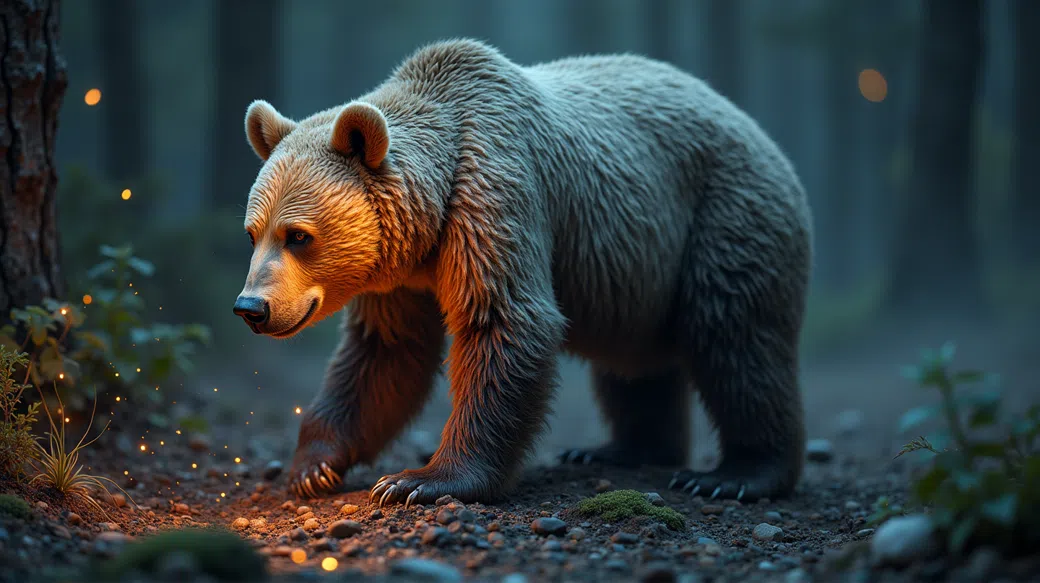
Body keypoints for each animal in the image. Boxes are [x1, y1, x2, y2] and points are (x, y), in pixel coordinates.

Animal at [233, 38, 812, 506]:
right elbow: (382, 353)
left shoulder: (495, 194)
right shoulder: (397, 275)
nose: (251, 307)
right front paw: (312, 467)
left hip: (722, 218)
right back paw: (619, 449)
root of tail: (760, 132)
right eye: (253, 232)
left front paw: (417, 481)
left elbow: (504, 322)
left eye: (298, 235)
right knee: (635, 364)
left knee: (737, 340)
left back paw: (736, 474)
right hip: (637, 274)